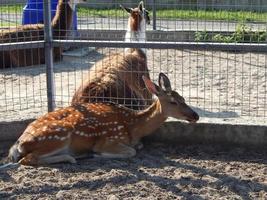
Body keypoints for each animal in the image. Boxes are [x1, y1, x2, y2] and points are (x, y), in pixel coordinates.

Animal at [7, 73, 200, 166]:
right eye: (173, 101)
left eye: (183, 98)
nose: (195, 115)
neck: (133, 127)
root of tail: (20, 143)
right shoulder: (108, 139)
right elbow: (131, 151)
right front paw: (96, 154)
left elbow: (138, 147)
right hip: (59, 135)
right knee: (27, 159)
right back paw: (73, 157)